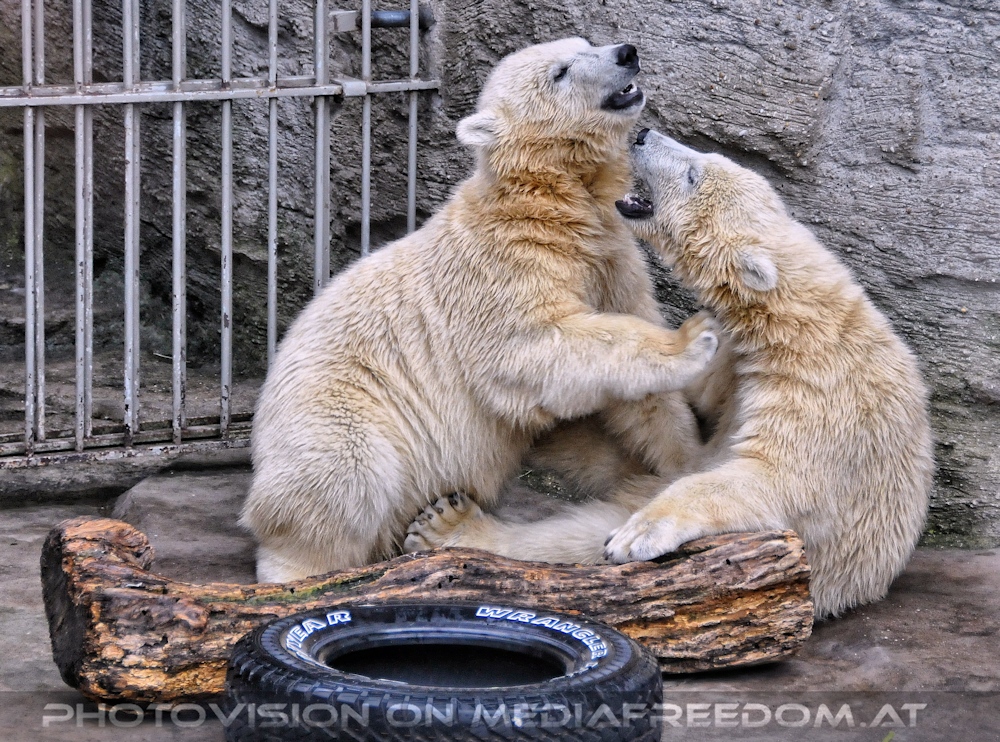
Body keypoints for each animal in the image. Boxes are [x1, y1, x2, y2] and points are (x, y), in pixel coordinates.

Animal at [240, 40, 718, 583]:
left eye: (585, 44)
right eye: (561, 71)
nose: (626, 52)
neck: (548, 205)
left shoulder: (611, 258)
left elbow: (641, 390)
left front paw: (686, 458)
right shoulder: (500, 270)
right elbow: (531, 348)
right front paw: (694, 339)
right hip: (337, 407)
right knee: (345, 473)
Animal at [406, 128, 933, 619]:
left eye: (693, 174)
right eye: (706, 159)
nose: (642, 134)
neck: (796, 323)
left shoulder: (820, 396)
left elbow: (769, 479)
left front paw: (640, 531)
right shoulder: (740, 371)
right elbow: (700, 396)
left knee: (583, 532)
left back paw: (452, 526)